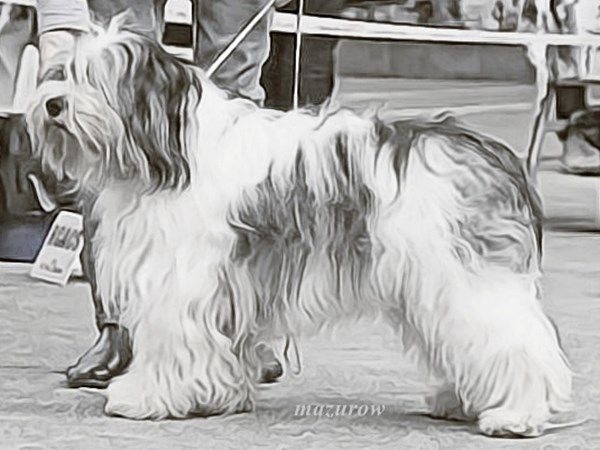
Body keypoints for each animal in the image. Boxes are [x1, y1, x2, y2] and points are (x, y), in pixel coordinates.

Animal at [27, 19, 572, 437]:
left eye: (97, 80)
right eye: (62, 73)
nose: (52, 104)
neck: (170, 147)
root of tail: (489, 151)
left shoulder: (179, 282)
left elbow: (171, 343)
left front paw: (145, 396)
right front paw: (220, 396)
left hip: (466, 280)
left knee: (519, 343)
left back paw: (516, 414)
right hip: (434, 285)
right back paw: (459, 401)